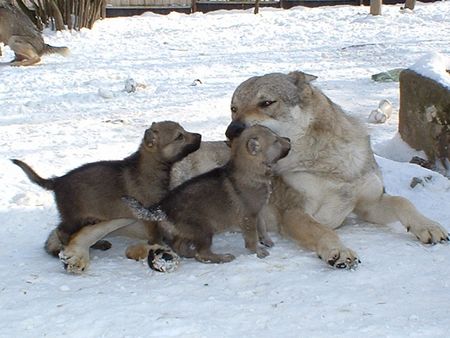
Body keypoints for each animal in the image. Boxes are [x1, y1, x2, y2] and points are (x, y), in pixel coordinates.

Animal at [124, 125, 292, 266]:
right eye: (276, 140)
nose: (289, 139)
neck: (252, 170)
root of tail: (162, 208)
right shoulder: (248, 217)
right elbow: (252, 237)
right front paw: (258, 251)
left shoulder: (258, 211)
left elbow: (262, 226)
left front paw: (267, 241)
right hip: (204, 230)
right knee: (202, 254)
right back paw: (223, 257)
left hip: (187, 232)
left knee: (181, 246)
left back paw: (190, 253)